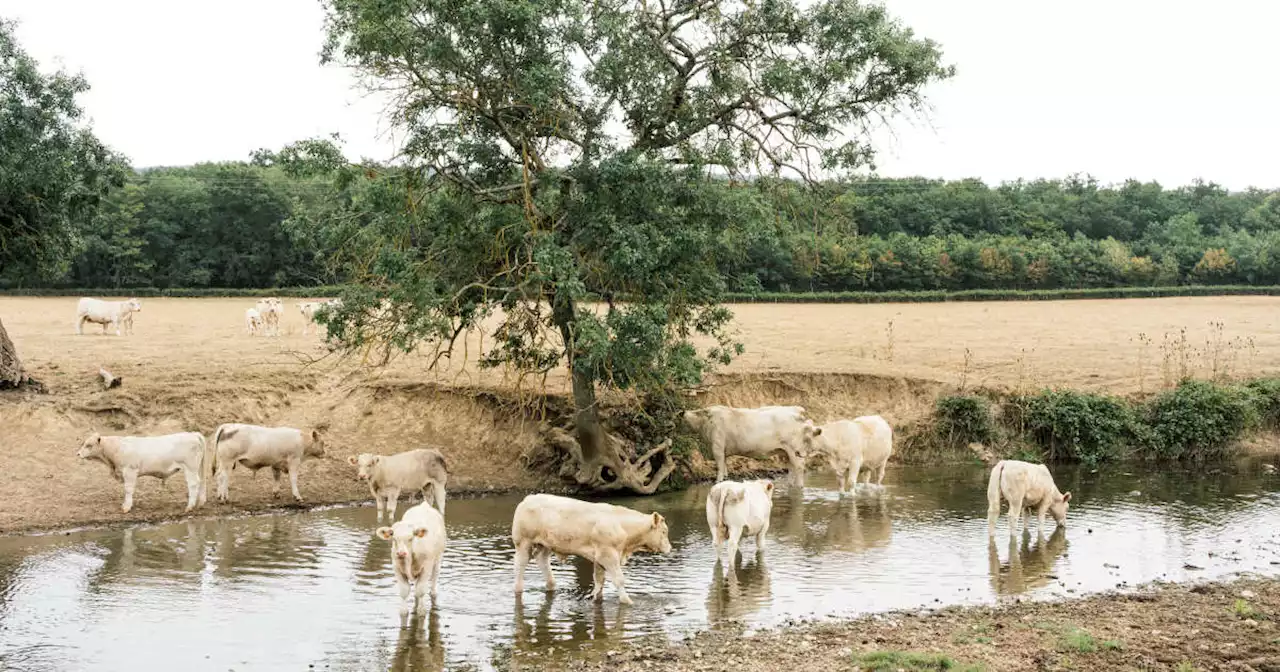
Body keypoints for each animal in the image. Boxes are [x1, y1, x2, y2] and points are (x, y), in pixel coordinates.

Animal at [509, 488, 675, 604]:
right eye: (664, 531)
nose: (670, 548)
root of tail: (529, 498)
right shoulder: (608, 555)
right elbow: (619, 579)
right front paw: (627, 601)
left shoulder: (599, 557)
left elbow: (599, 580)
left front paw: (596, 597)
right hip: (523, 542)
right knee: (520, 565)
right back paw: (518, 588)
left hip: (545, 544)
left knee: (542, 559)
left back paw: (551, 584)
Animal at [686, 404, 824, 481]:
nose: (684, 412)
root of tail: (795, 409)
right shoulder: (723, 451)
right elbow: (724, 469)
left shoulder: (717, 447)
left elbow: (719, 469)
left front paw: (718, 481)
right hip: (786, 452)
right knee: (792, 470)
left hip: (796, 451)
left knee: (800, 469)